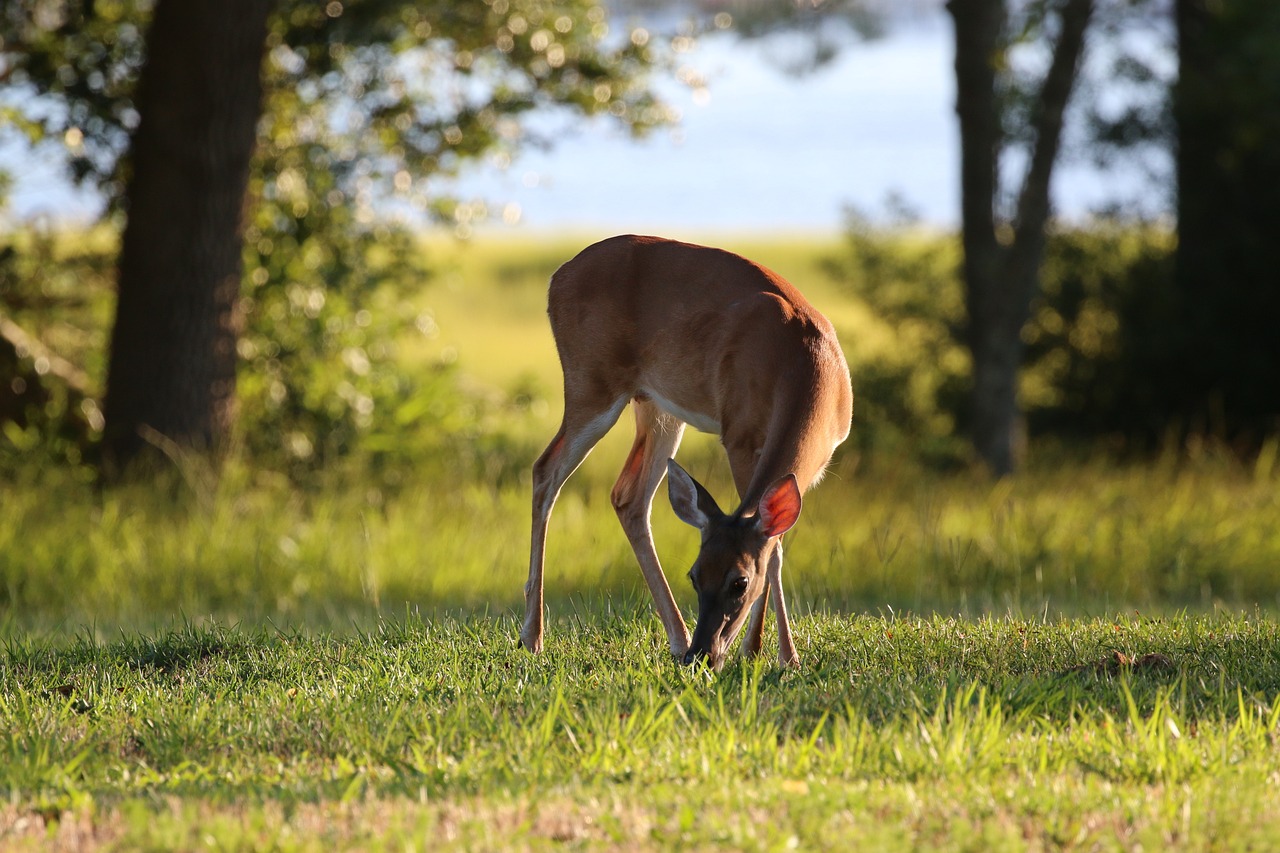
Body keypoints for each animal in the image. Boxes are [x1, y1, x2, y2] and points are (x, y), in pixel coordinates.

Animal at [519, 235, 849, 666]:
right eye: (695, 575)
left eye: (739, 582)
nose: (703, 654)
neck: (805, 365)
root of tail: (557, 278)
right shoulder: (739, 434)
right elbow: (773, 547)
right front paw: (764, 651)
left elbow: (775, 542)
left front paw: (779, 654)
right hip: (591, 384)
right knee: (546, 470)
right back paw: (533, 636)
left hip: (657, 408)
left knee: (628, 497)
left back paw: (676, 637)